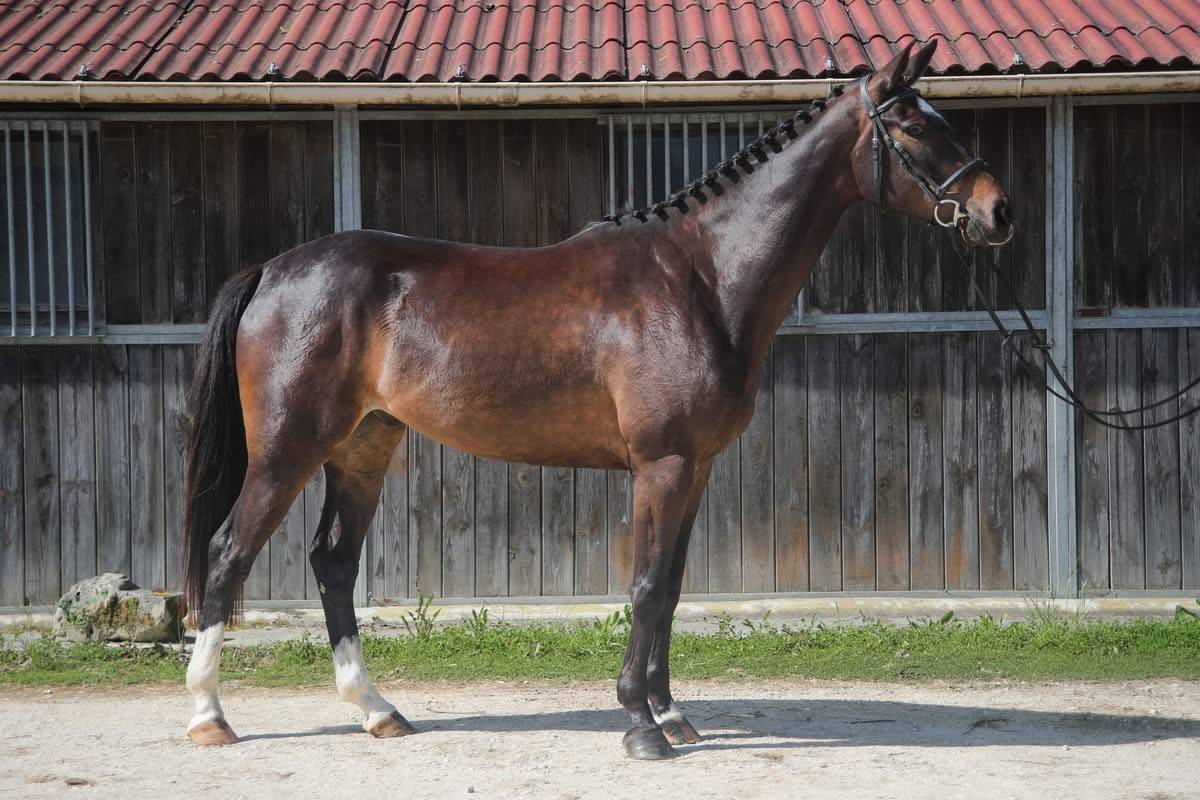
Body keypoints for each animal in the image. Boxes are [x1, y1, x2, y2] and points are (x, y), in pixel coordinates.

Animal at [180, 39, 1013, 760]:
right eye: (914, 124)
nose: (997, 210)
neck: (700, 277)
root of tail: (272, 270)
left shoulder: (696, 468)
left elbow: (670, 589)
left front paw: (672, 716)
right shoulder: (661, 465)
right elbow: (643, 589)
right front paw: (641, 727)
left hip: (363, 448)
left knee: (333, 562)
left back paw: (378, 711)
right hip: (288, 452)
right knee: (227, 556)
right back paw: (209, 717)